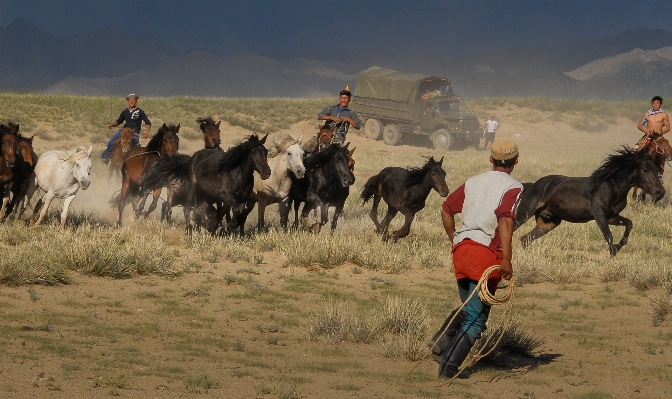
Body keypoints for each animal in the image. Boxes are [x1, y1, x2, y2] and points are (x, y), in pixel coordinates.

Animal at [516, 148, 668, 258]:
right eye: (645, 170)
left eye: (657, 169)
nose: (660, 192)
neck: (612, 187)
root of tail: (532, 185)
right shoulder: (598, 214)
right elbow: (608, 235)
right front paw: (612, 254)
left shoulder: (611, 217)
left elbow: (629, 224)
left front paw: (619, 246)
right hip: (524, 214)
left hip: (548, 223)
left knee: (525, 239)